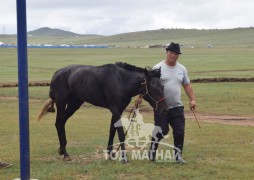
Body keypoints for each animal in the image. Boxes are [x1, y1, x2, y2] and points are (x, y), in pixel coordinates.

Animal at [37, 62, 167, 162]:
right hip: (61, 103)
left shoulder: (118, 110)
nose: (165, 109)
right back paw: (65, 153)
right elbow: (120, 133)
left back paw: (62, 150)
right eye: (153, 88)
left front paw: (111, 153)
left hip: (75, 104)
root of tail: (58, 72)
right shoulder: (115, 109)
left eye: (163, 87)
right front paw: (124, 157)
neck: (121, 81)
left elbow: (112, 130)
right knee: (59, 123)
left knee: (62, 122)